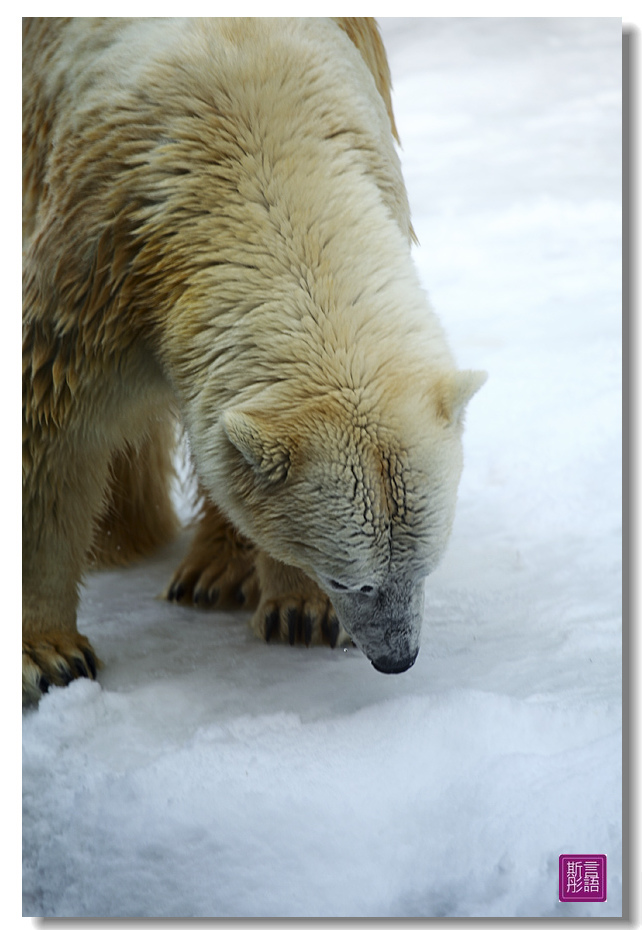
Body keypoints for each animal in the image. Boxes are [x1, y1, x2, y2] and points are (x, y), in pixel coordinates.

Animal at [22, 16, 484, 704]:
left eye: (424, 565)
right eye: (348, 578)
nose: (397, 659)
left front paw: (297, 611)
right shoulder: (97, 260)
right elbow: (53, 432)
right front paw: (48, 657)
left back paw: (213, 573)